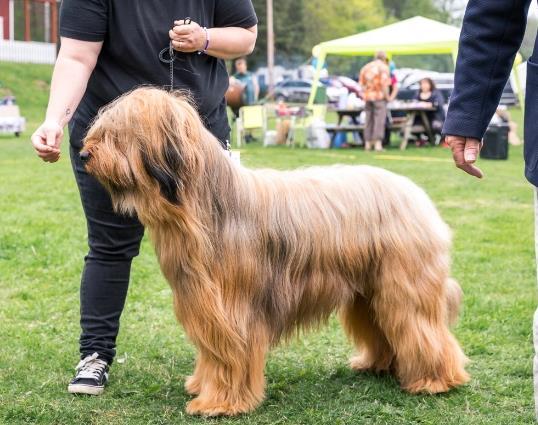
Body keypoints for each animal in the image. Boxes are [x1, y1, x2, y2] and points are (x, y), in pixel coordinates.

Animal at [81, 88, 466, 416]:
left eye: (117, 133)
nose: (84, 154)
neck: (204, 205)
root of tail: (413, 192)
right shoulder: (204, 304)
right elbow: (210, 352)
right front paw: (201, 386)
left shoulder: (231, 310)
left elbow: (229, 355)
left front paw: (220, 402)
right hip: (368, 290)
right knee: (383, 326)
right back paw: (379, 364)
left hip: (404, 285)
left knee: (421, 329)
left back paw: (435, 380)